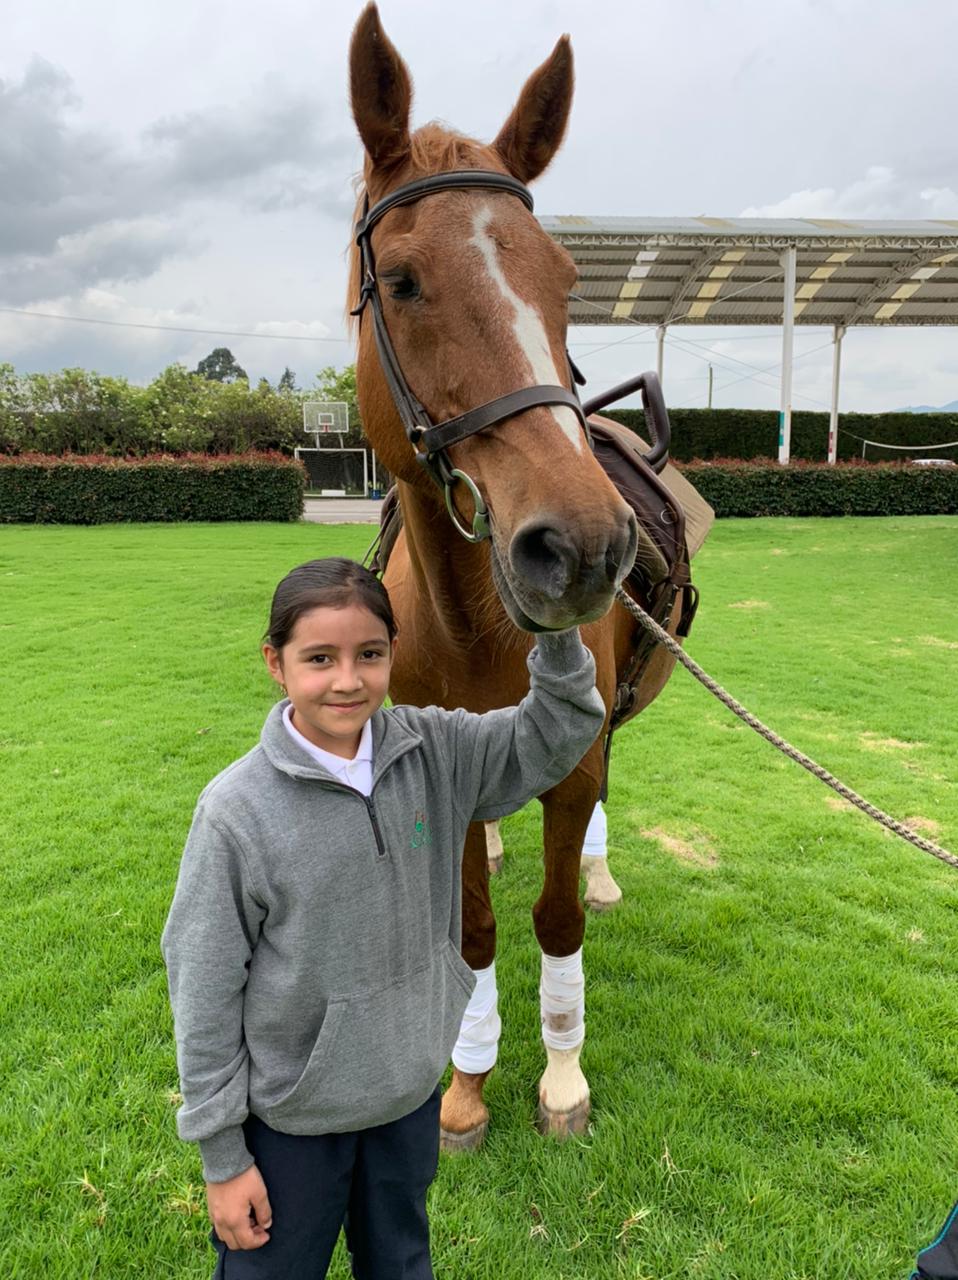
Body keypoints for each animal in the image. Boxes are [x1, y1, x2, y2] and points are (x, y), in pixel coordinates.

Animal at [347, 4, 687, 1147]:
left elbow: (555, 916)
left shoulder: (575, 766)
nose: (581, 547)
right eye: (403, 280)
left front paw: (562, 1078)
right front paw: (465, 1083)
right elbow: (474, 927)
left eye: (565, 283)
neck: (473, 624)